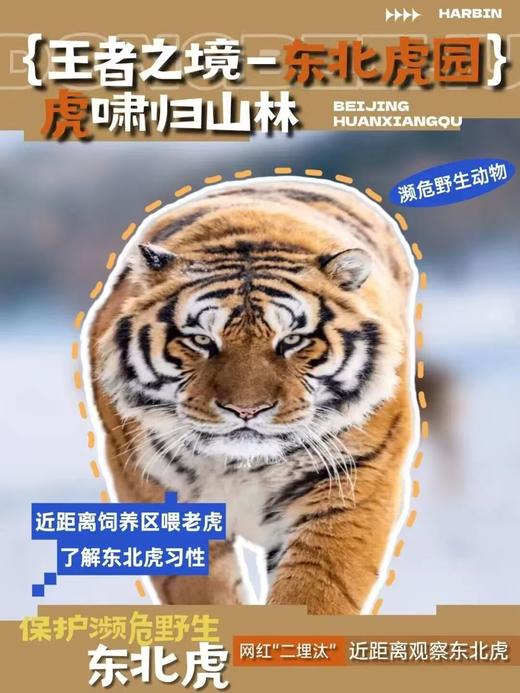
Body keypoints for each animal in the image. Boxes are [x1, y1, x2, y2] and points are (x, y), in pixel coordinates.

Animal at [85, 176, 418, 614]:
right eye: (201, 340)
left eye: (292, 340)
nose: (247, 410)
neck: (240, 467)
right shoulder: (153, 489)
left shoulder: (352, 484)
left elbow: (315, 593)